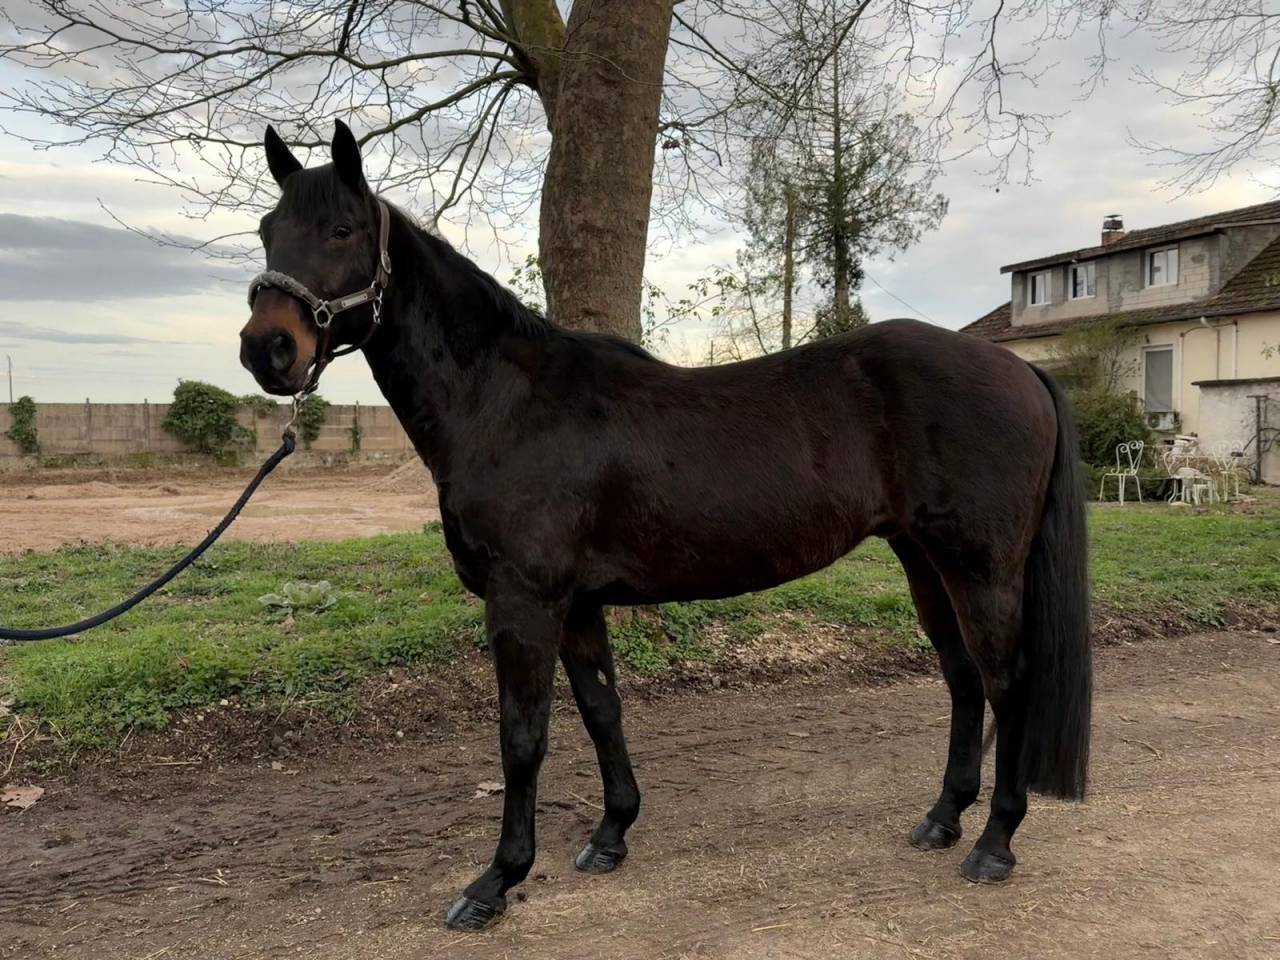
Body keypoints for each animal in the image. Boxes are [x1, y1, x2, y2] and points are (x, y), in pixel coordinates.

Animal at [239, 122, 1091, 932]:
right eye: (267, 228)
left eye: (344, 229)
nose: (266, 348)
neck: (505, 403)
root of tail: (1019, 369)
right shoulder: (577, 605)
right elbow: (601, 711)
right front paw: (610, 835)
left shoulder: (525, 602)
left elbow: (523, 737)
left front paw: (495, 882)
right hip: (924, 562)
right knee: (962, 680)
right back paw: (942, 820)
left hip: (980, 570)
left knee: (1006, 684)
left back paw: (994, 844)